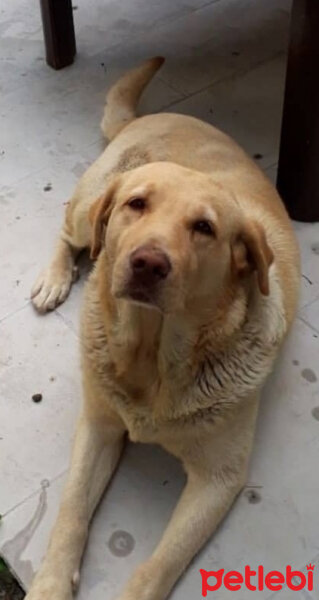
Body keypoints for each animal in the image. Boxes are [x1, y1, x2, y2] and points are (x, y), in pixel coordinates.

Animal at [26, 58, 300, 600]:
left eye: (204, 228)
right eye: (137, 204)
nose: (148, 263)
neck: (151, 357)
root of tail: (150, 117)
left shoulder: (219, 478)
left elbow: (158, 566)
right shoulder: (98, 425)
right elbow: (70, 513)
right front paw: (49, 584)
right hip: (90, 208)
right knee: (68, 232)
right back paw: (55, 278)